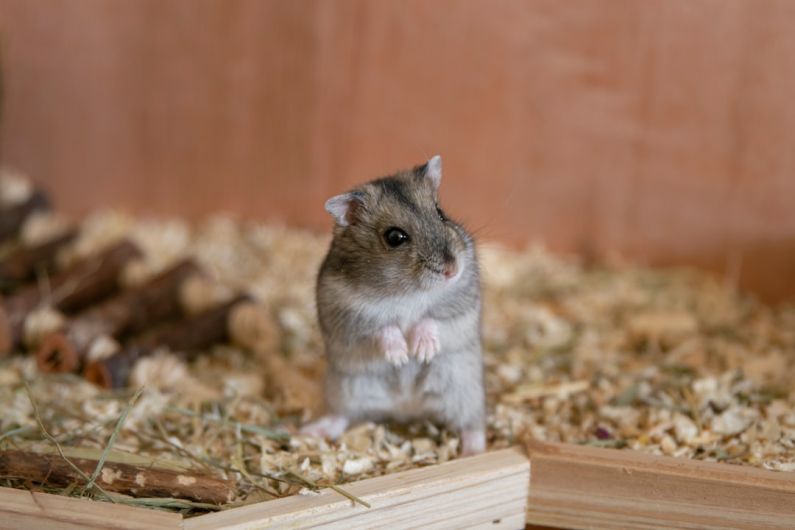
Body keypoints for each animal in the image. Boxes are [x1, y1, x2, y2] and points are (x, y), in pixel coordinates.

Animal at [304, 153, 486, 454]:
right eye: (394, 237)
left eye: (440, 213)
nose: (452, 270)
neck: (407, 291)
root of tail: (407, 408)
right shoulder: (348, 315)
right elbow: (382, 328)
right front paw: (400, 356)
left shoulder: (461, 304)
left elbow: (431, 319)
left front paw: (421, 352)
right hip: (345, 388)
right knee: (342, 416)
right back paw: (310, 431)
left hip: (464, 388)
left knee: (472, 423)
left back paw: (474, 450)